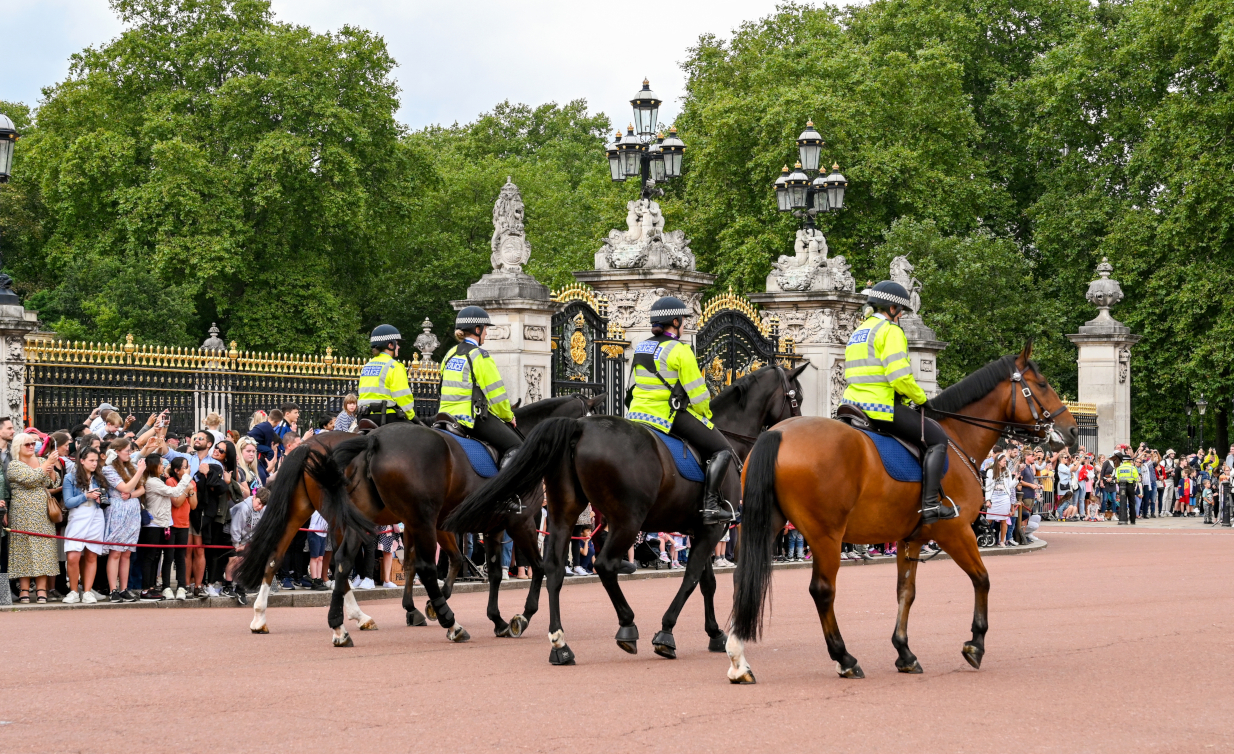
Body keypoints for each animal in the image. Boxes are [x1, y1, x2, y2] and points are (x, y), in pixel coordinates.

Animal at [235, 392, 602, 646]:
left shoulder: (477, 525)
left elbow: (480, 570)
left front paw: (481, 615)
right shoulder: (515, 522)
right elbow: (532, 568)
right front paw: (516, 617)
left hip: (317, 513)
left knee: (295, 557)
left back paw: (305, 621)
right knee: (385, 563)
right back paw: (449, 624)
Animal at [444, 365, 809, 666]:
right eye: (797, 397)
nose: (797, 427)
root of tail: (578, 427)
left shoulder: (701, 528)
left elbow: (706, 582)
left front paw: (715, 633)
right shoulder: (713, 528)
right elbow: (692, 578)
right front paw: (666, 633)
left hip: (564, 514)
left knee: (553, 569)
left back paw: (560, 645)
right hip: (623, 521)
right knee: (602, 563)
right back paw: (627, 624)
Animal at [725, 345, 1076, 686]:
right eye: (1042, 384)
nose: (1071, 430)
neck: (956, 436)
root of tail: (778, 433)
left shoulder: (911, 538)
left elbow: (906, 592)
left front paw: (904, 652)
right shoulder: (956, 531)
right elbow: (982, 579)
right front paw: (975, 643)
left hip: (766, 524)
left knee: (742, 578)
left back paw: (739, 660)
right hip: (826, 535)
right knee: (822, 590)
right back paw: (844, 659)